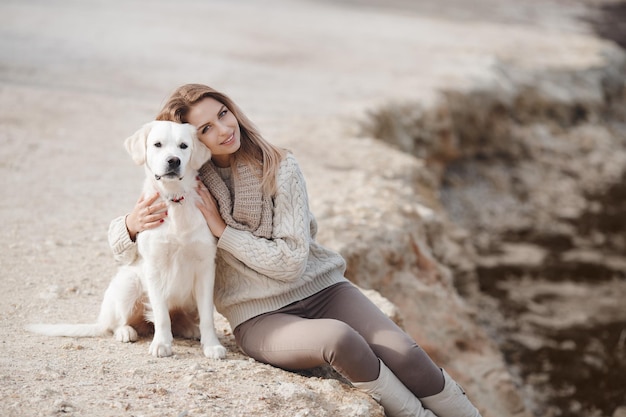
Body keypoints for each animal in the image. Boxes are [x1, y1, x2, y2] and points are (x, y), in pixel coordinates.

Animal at [28, 119, 227, 358]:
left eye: (183, 146)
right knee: (118, 324)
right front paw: (161, 344)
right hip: (128, 283)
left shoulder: (205, 266)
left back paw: (190, 328)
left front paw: (212, 345)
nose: (173, 160)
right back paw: (126, 331)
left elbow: (207, 316)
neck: (173, 200)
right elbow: (161, 315)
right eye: (157, 144)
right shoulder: (154, 267)